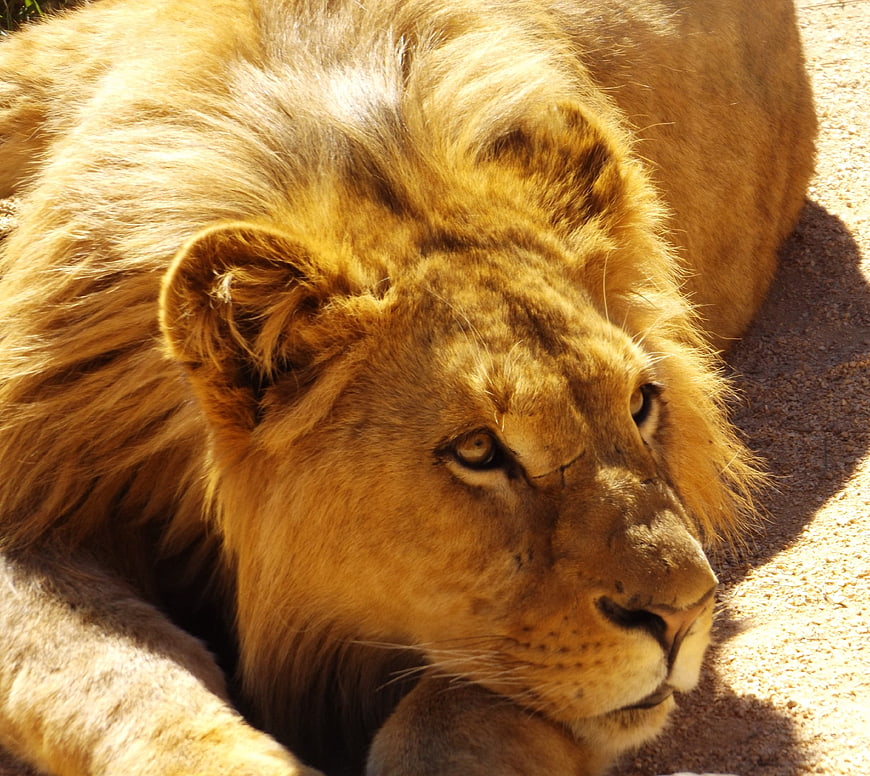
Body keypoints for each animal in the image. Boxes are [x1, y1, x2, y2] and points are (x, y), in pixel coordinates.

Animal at [0, 0, 815, 774]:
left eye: (641, 405)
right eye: (479, 450)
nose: (686, 615)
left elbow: (452, 715)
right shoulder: (36, 496)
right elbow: (111, 679)